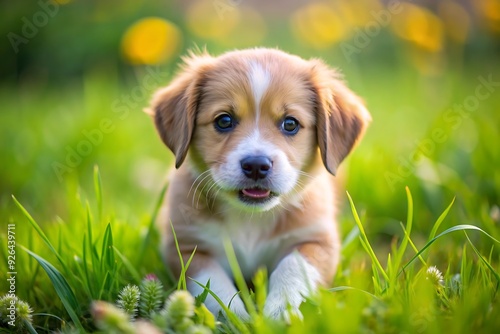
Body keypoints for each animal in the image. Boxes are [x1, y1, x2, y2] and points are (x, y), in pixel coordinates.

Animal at [146, 47, 370, 318]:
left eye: (290, 123)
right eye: (224, 120)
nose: (256, 165)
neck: (250, 219)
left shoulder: (317, 240)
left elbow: (293, 266)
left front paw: (281, 310)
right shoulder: (186, 247)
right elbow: (211, 284)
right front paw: (236, 316)